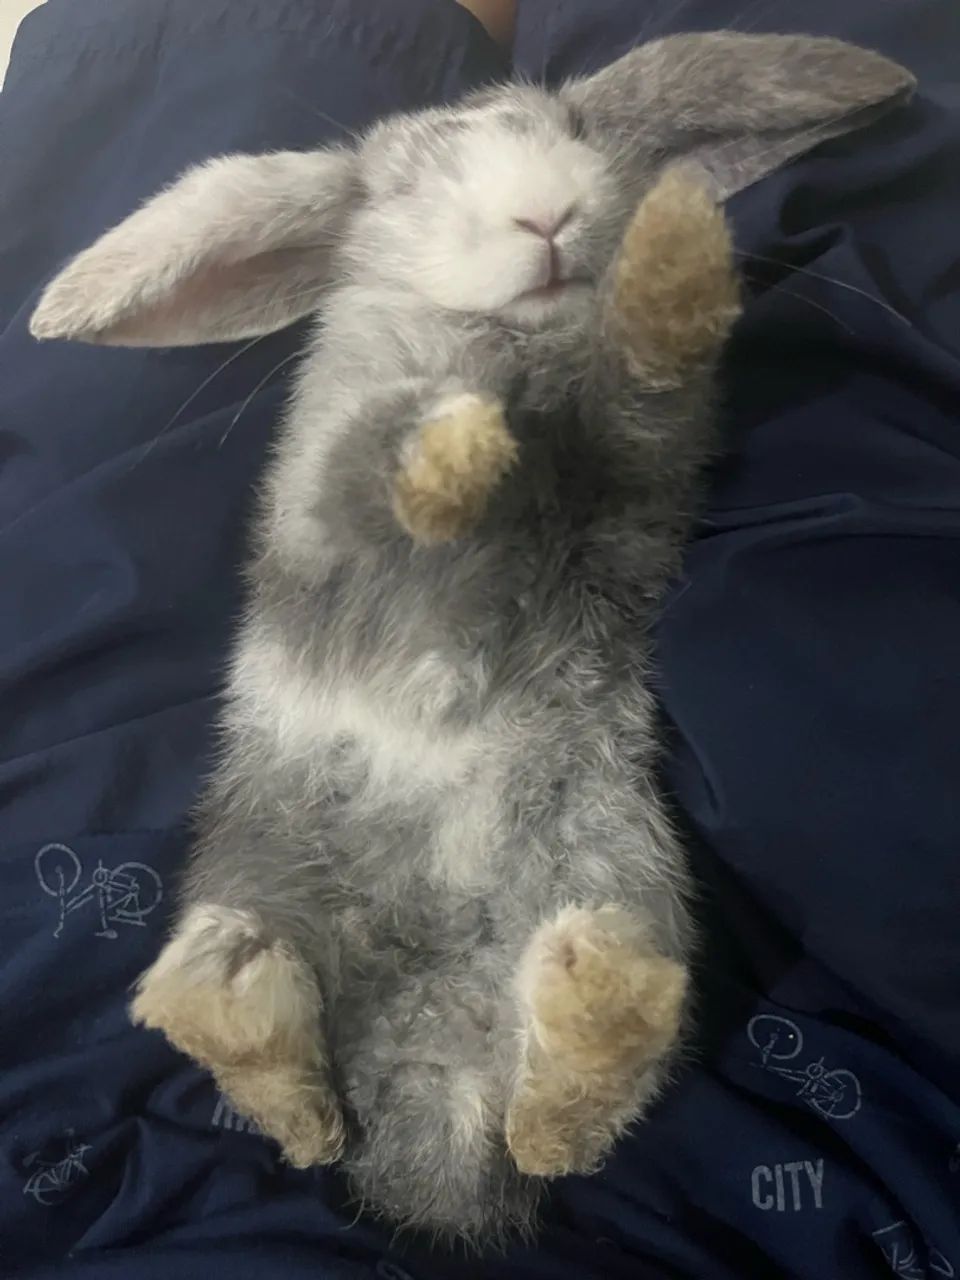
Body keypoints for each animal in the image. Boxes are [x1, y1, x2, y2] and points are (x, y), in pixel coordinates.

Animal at [30, 32, 914, 1245]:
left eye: (581, 135)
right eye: (403, 185)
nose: (548, 214)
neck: (512, 354)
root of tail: (432, 1074)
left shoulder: (635, 464)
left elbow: (645, 383)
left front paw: (673, 258)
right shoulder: (324, 495)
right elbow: (371, 454)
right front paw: (451, 449)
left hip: (619, 861)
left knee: (570, 1099)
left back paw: (585, 1009)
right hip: (255, 857)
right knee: (276, 1059)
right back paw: (240, 1006)